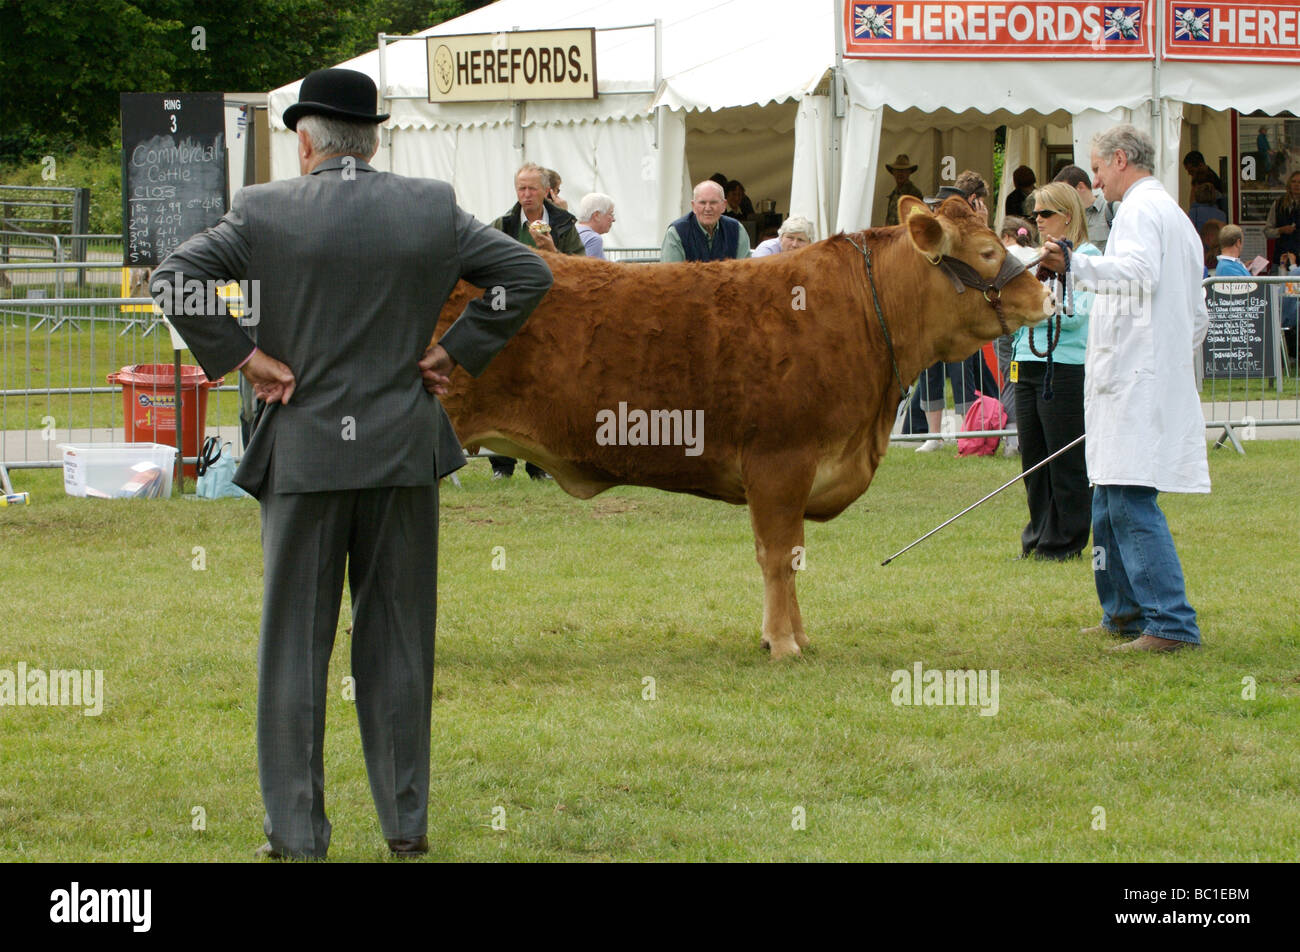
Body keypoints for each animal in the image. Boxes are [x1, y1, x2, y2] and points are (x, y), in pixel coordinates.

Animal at [431, 197, 1050, 658]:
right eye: (989, 251)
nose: (1046, 294)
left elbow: (789, 556)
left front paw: (794, 635)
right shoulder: (781, 462)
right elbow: (778, 555)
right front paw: (783, 643)